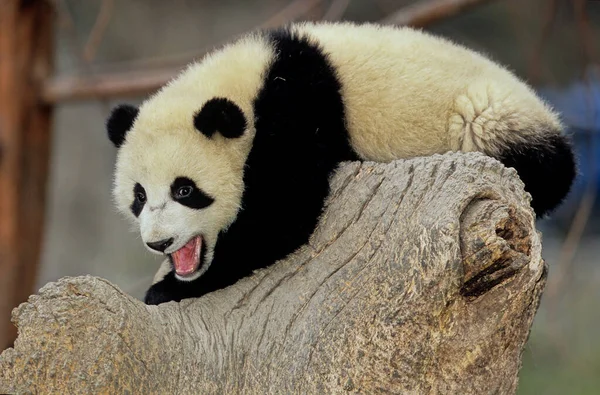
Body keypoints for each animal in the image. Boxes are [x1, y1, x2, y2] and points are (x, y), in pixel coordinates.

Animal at [106, 21, 576, 306]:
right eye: (139, 197)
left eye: (185, 189)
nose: (159, 243)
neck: (248, 84)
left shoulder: (296, 109)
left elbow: (281, 215)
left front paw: (166, 289)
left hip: (488, 118)